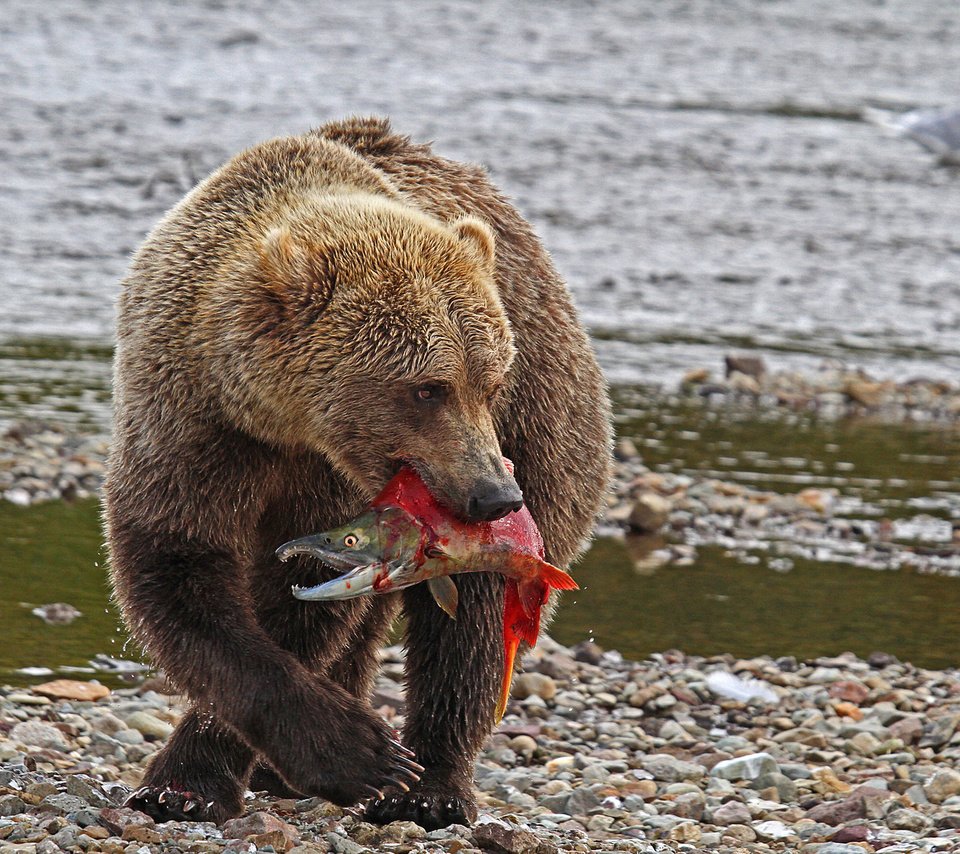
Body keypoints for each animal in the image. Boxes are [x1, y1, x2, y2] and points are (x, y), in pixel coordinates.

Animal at [105, 115, 612, 828]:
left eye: (489, 382)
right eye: (428, 388)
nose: (494, 496)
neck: (279, 419)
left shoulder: (334, 477)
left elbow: (298, 599)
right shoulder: (191, 419)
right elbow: (179, 566)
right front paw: (192, 785)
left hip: (547, 441)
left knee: (471, 630)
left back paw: (433, 788)